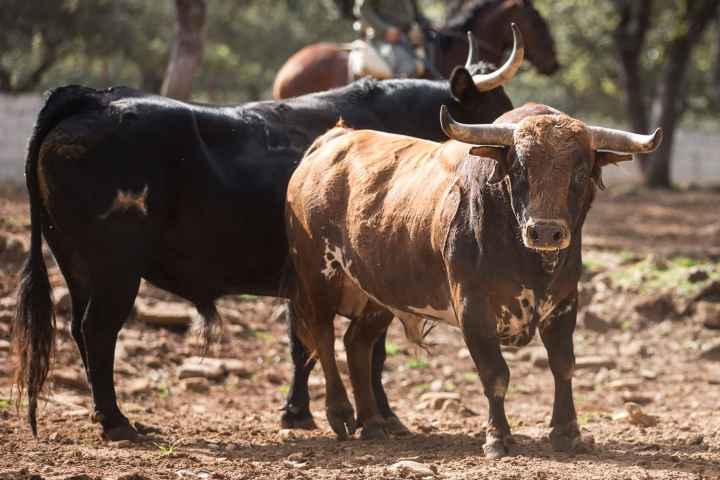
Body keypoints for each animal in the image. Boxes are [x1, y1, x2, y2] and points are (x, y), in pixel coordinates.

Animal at [12, 29, 523, 441]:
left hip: (77, 268)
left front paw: (301, 412)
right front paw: (376, 416)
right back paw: (118, 423)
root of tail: (93, 97)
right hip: (114, 271)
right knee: (98, 332)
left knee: (80, 331)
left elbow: (309, 346)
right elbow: (358, 348)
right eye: (496, 114)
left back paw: (109, 417)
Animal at [284, 103, 662, 457]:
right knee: (324, 338)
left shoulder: (564, 304)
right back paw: (340, 413)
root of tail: (331, 140)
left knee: (356, 343)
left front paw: (567, 432)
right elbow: (495, 375)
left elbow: (563, 366)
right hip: (319, 276)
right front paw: (498, 438)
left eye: (580, 171)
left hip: (381, 292)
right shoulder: (473, 307)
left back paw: (373, 423)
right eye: (520, 168)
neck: (526, 257)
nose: (545, 231)